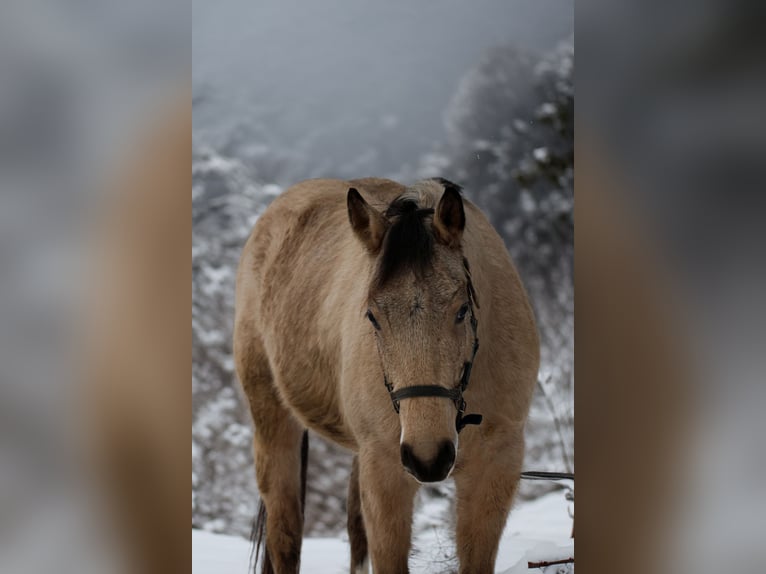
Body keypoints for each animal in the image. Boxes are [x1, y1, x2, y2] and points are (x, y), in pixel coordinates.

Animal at [234, 177, 539, 573]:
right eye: (373, 317)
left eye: (461, 310)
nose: (429, 456)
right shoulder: (385, 472)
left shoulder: (496, 466)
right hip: (273, 421)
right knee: (286, 537)